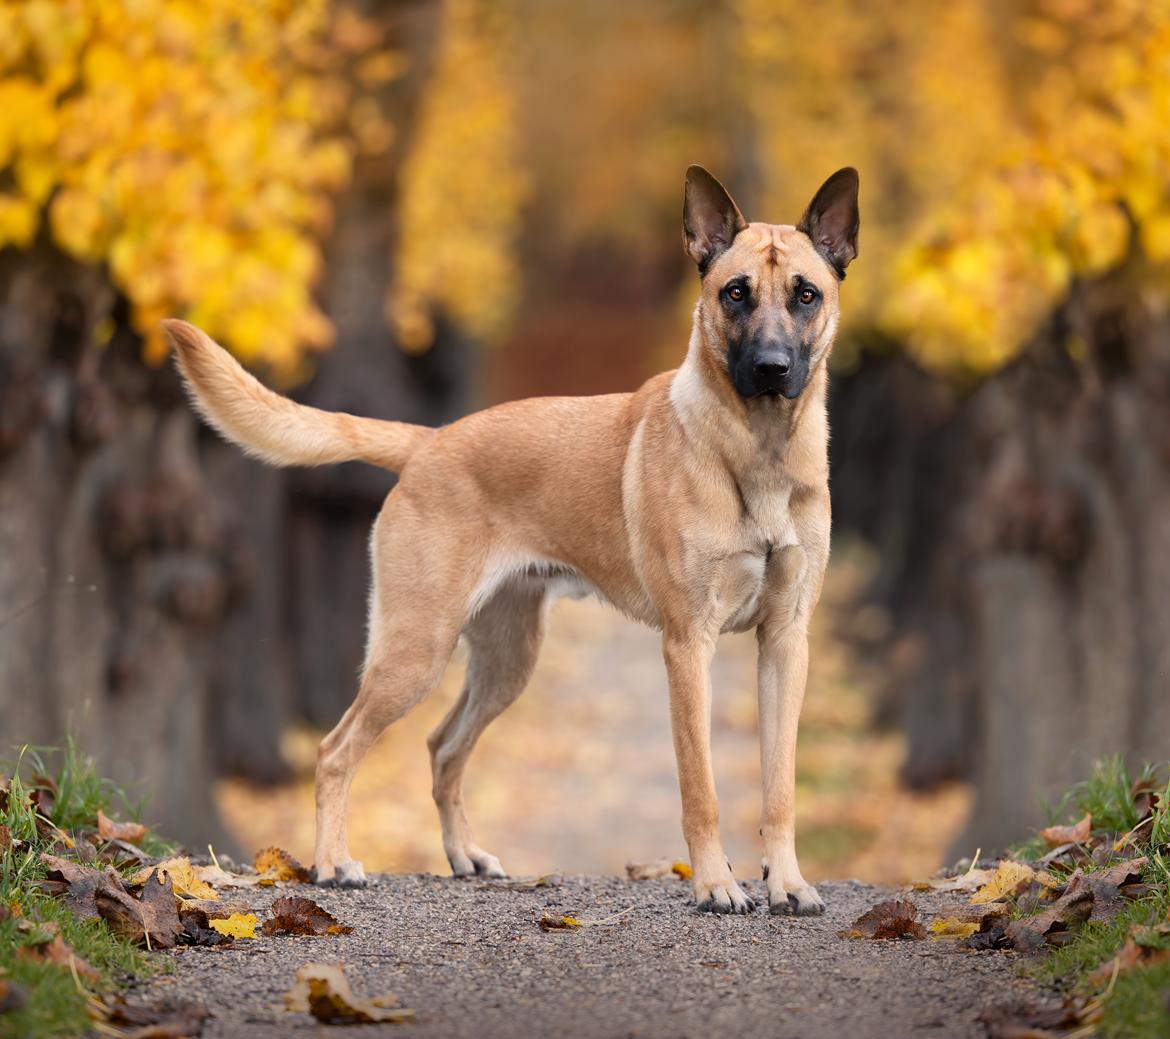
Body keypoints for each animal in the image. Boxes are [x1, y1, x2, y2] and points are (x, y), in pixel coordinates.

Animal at [164, 163, 861, 917]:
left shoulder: (786, 641)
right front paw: (715, 884)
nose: (771, 368)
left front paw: (786, 881)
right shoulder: (687, 645)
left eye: (806, 294)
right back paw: (332, 864)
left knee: (443, 747)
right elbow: (699, 787)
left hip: (505, 659)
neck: (757, 454)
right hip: (416, 649)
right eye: (735, 292)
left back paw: (464, 856)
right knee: (336, 749)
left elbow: (780, 787)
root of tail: (430, 441)